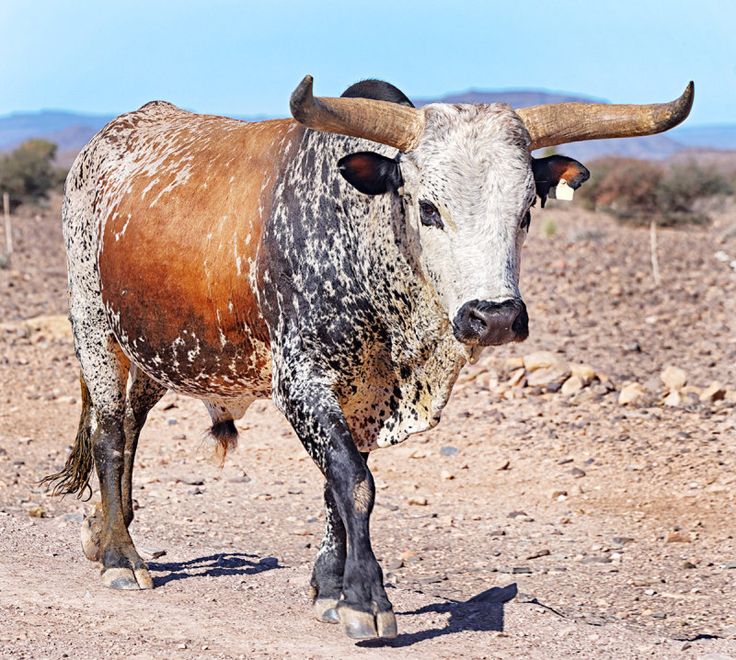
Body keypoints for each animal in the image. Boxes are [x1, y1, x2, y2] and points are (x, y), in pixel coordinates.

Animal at [43, 76, 692, 640]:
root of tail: (109, 137)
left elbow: (335, 488)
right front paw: (365, 600)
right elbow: (355, 483)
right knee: (108, 434)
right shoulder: (301, 382)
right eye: (428, 208)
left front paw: (330, 589)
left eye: (527, 209)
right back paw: (121, 557)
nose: (496, 317)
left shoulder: (365, 398)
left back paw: (105, 531)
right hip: (95, 328)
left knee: (130, 429)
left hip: (158, 349)